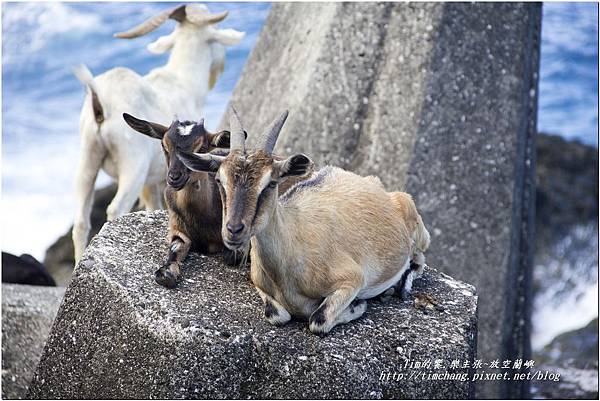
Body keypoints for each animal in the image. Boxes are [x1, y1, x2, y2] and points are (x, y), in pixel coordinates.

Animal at [72, 4, 244, 260]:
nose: (219, 69)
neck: (182, 81)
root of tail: (100, 101)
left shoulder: (153, 181)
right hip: (132, 163)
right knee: (115, 207)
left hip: (87, 156)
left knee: (81, 221)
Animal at [178, 107, 432, 334]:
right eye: (219, 180)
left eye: (271, 183)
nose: (233, 230)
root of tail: (376, 184)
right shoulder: (259, 284)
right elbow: (276, 315)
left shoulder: (351, 278)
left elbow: (318, 319)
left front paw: (357, 305)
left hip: (417, 230)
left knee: (419, 259)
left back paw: (399, 287)